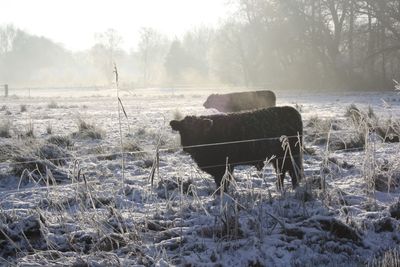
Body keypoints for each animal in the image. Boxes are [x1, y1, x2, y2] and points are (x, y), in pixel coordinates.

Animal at [170, 106, 304, 191]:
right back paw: (280, 188)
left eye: (198, 130)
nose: (189, 146)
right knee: (282, 173)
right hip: (279, 159)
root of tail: (292, 111)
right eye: (183, 130)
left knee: (294, 172)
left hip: (291, 155)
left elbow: (223, 182)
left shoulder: (225, 166)